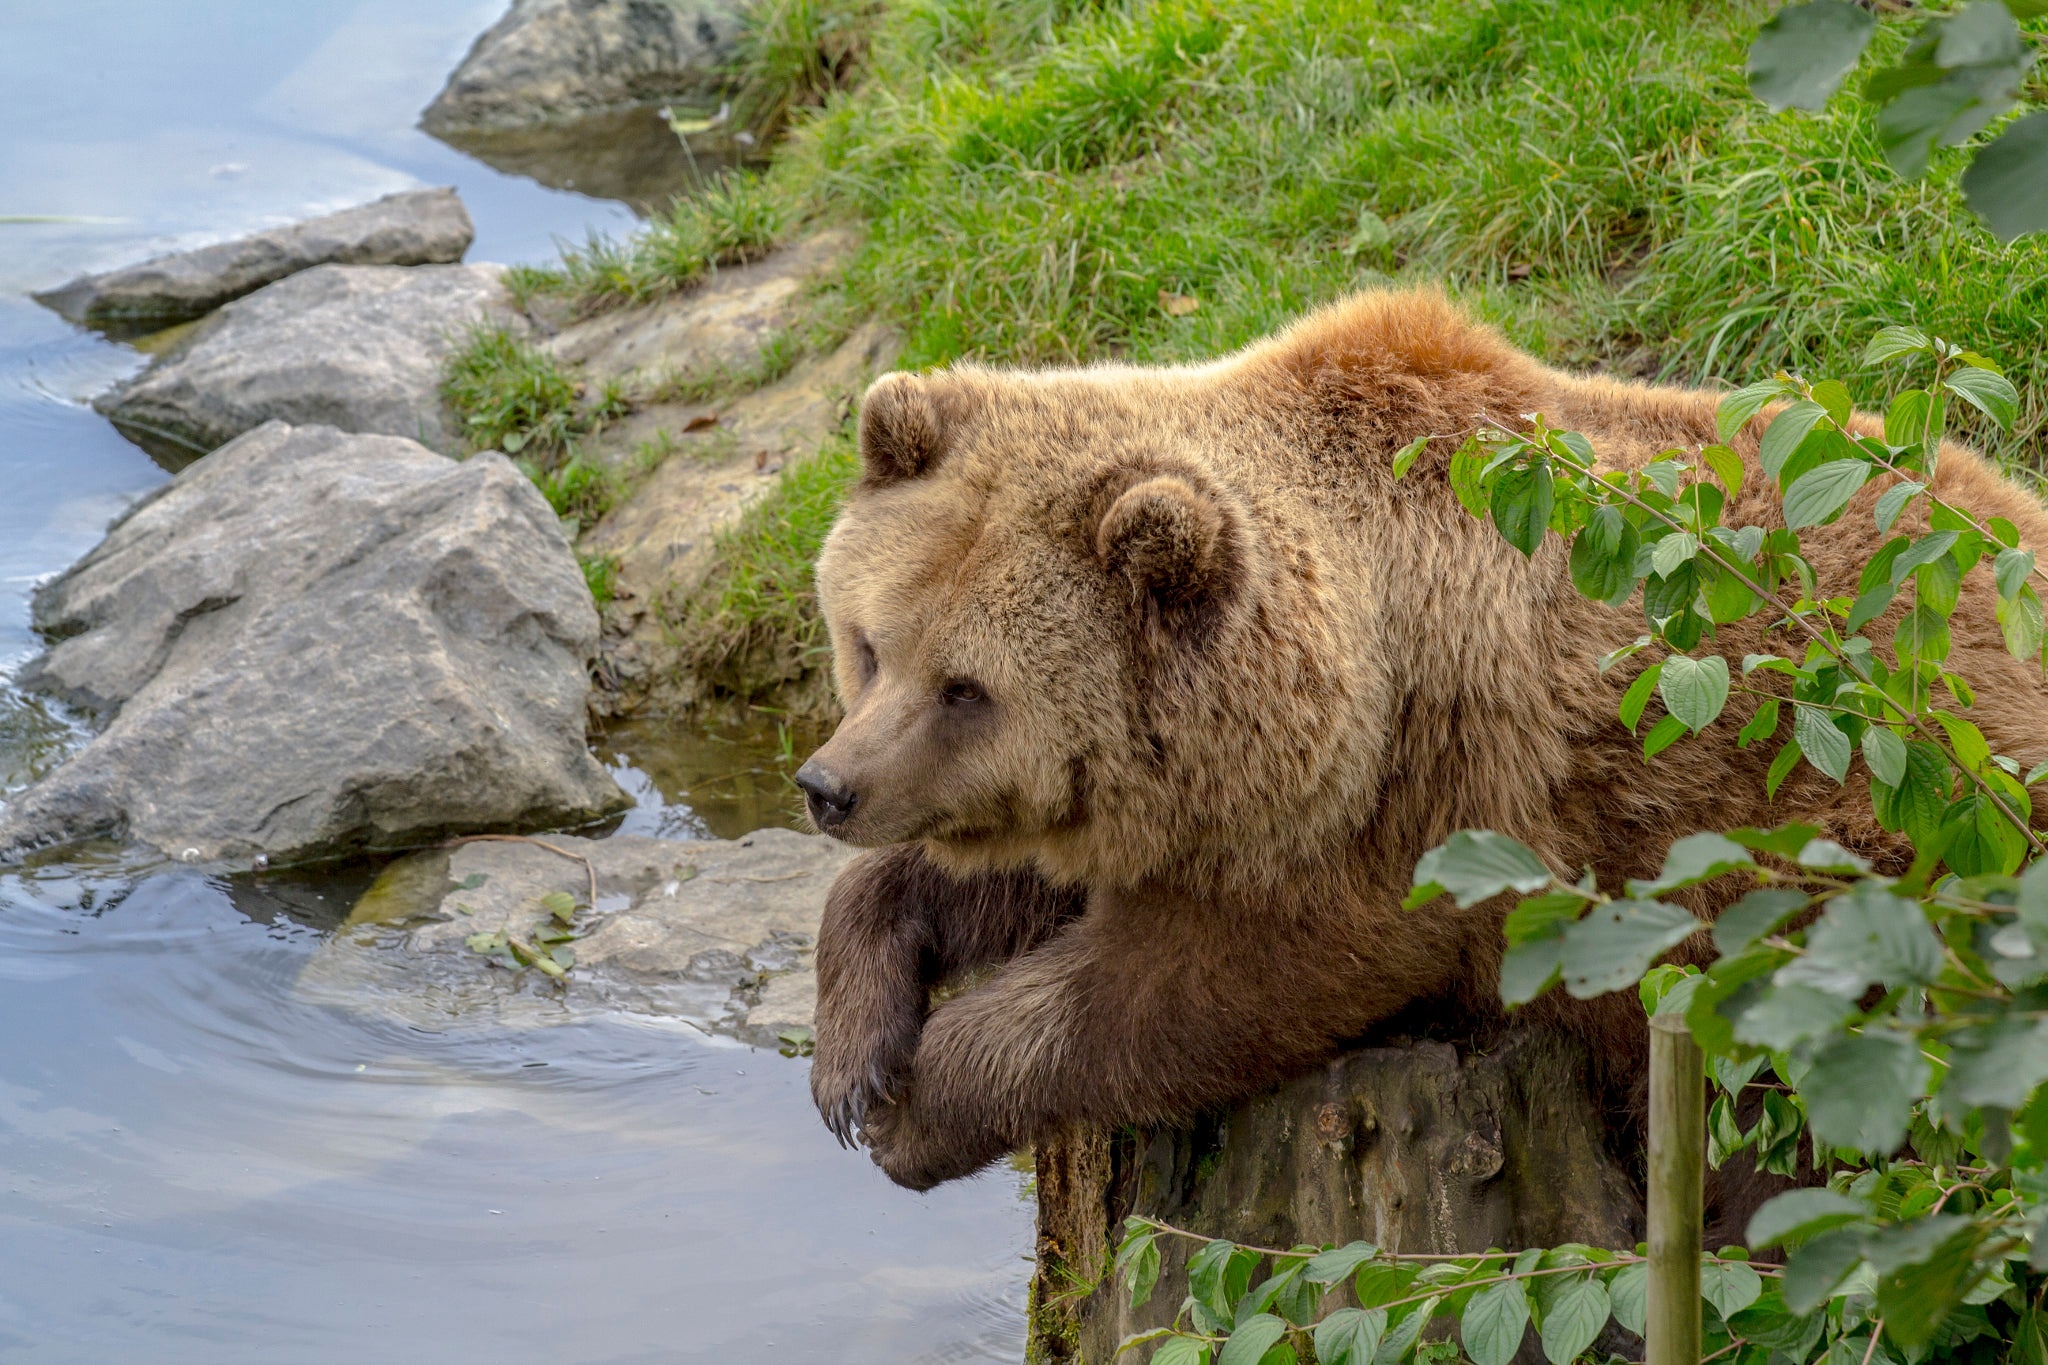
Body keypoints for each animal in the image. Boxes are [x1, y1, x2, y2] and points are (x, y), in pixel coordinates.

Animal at [790, 288, 2048, 1195]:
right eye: (869, 645)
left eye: (967, 690)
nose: (826, 786)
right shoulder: (1182, 801)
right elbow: (1007, 873)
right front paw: (854, 1056)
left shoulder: (1411, 819)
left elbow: (1185, 992)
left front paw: (919, 1103)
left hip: (1871, 854)